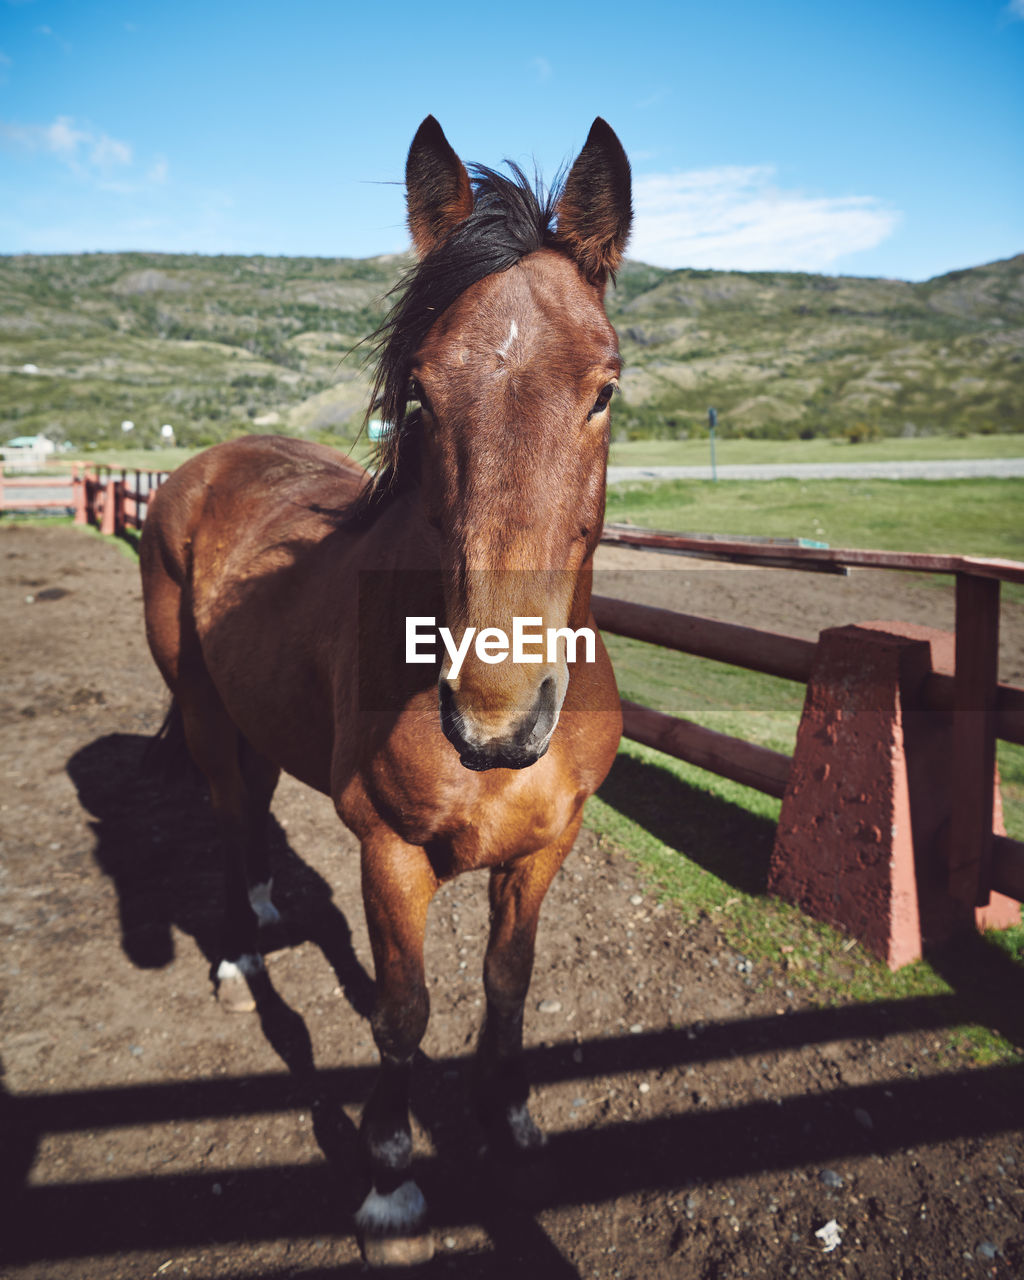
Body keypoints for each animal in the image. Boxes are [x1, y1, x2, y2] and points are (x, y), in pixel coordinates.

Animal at [140, 117, 627, 1259]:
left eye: (604, 389)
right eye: (421, 393)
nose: (496, 717)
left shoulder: (544, 848)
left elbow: (507, 983)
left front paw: (508, 1112)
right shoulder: (389, 854)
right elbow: (402, 1010)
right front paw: (392, 1176)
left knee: (255, 807)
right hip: (205, 711)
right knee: (227, 813)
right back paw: (241, 953)